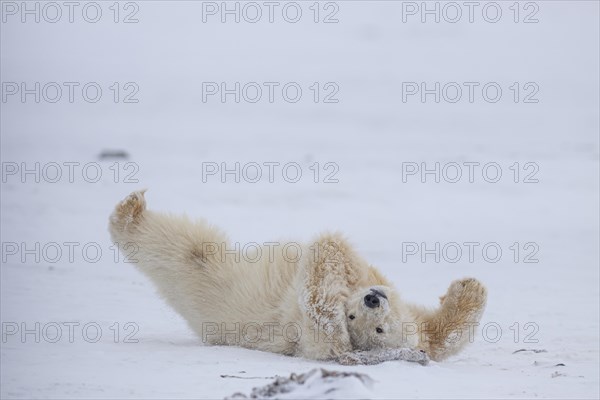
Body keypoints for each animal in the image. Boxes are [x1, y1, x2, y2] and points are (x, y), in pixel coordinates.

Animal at [109, 192, 488, 364]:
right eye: (353, 315)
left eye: (378, 329)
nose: (372, 299)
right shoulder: (418, 326)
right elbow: (440, 334)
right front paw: (470, 287)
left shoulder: (306, 336)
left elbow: (323, 262)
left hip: (206, 285)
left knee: (186, 249)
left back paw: (128, 213)